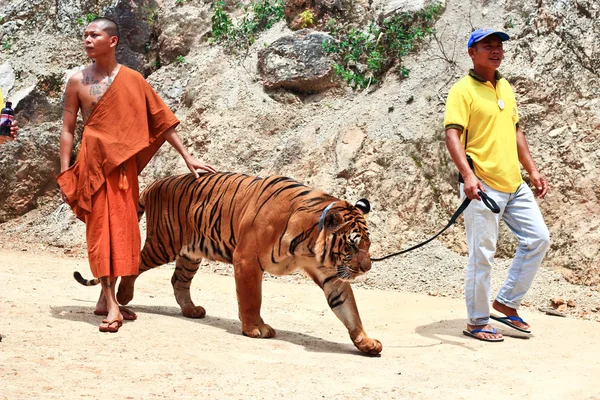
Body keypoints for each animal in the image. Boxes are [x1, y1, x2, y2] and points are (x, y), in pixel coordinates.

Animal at [74, 172, 380, 354]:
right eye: (353, 244)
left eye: (368, 244)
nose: (367, 267)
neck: (309, 243)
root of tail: (154, 184)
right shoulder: (246, 260)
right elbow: (252, 298)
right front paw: (255, 329)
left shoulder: (331, 275)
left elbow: (349, 309)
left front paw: (366, 342)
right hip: (163, 244)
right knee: (132, 264)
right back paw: (119, 300)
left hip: (190, 253)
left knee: (178, 281)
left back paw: (191, 310)